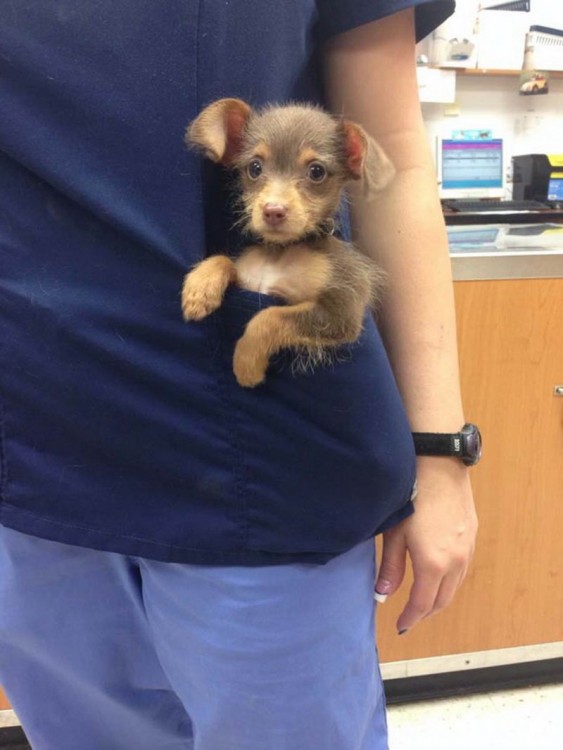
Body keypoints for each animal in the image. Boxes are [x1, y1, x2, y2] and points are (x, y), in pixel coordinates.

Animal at [183, 97, 394, 388]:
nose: (273, 210)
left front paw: (246, 363)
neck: (280, 252)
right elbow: (224, 259)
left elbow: (269, 316)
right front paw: (200, 287)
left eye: (316, 171)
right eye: (255, 168)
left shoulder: (341, 313)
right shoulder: (248, 278)